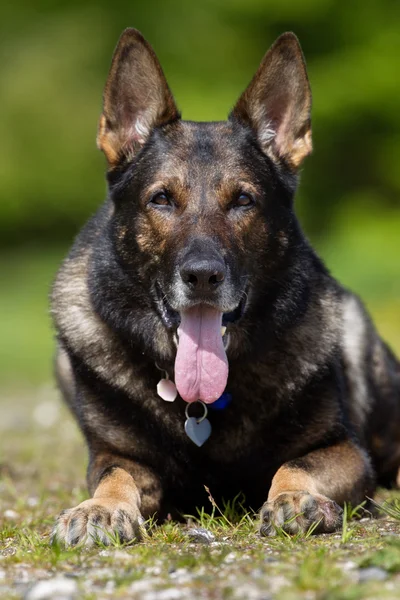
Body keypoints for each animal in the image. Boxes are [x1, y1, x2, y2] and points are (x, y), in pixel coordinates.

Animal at [51, 27, 400, 544]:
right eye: (161, 199)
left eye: (242, 201)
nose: (202, 276)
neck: (202, 406)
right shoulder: (118, 457)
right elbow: (115, 477)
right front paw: (99, 508)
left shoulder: (343, 448)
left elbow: (296, 465)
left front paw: (294, 498)